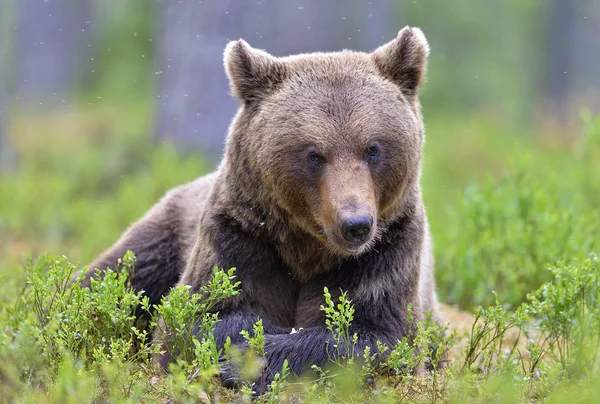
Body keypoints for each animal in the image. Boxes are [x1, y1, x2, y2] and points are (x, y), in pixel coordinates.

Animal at [78, 26, 440, 394]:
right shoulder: (239, 237)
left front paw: (257, 359)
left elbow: (378, 336)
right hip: (167, 231)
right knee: (118, 274)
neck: (308, 249)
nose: (355, 224)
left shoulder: (388, 250)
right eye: (313, 154)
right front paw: (244, 349)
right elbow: (201, 317)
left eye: (373, 148)